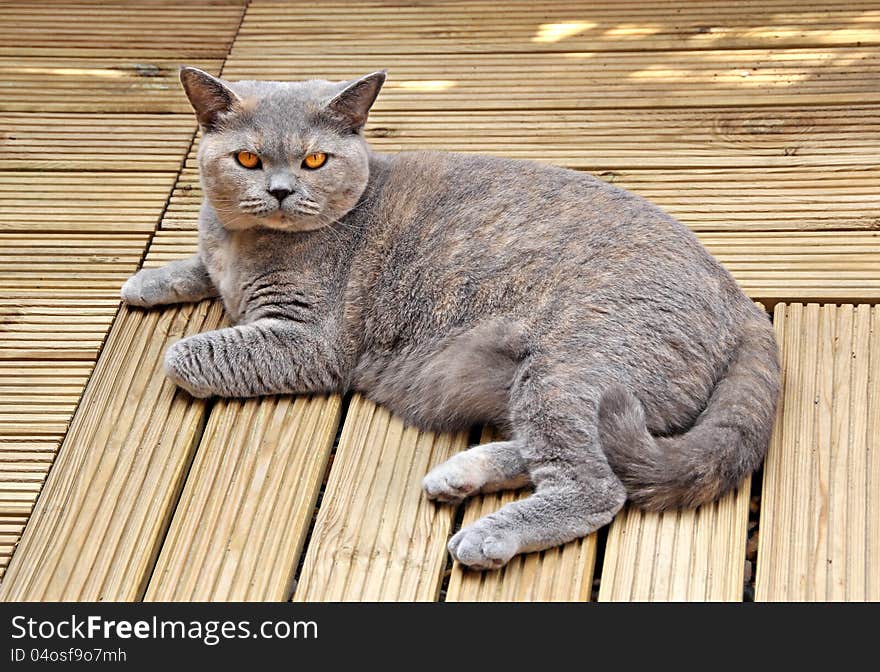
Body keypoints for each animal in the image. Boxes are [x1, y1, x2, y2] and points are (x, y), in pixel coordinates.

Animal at [120, 67, 780, 568]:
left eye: (315, 160)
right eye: (247, 158)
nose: (281, 191)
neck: (244, 243)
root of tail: (746, 305)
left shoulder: (309, 340)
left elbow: (182, 355)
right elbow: (199, 267)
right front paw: (147, 280)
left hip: (566, 365)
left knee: (598, 484)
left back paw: (486, 535)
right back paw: (458, 474)